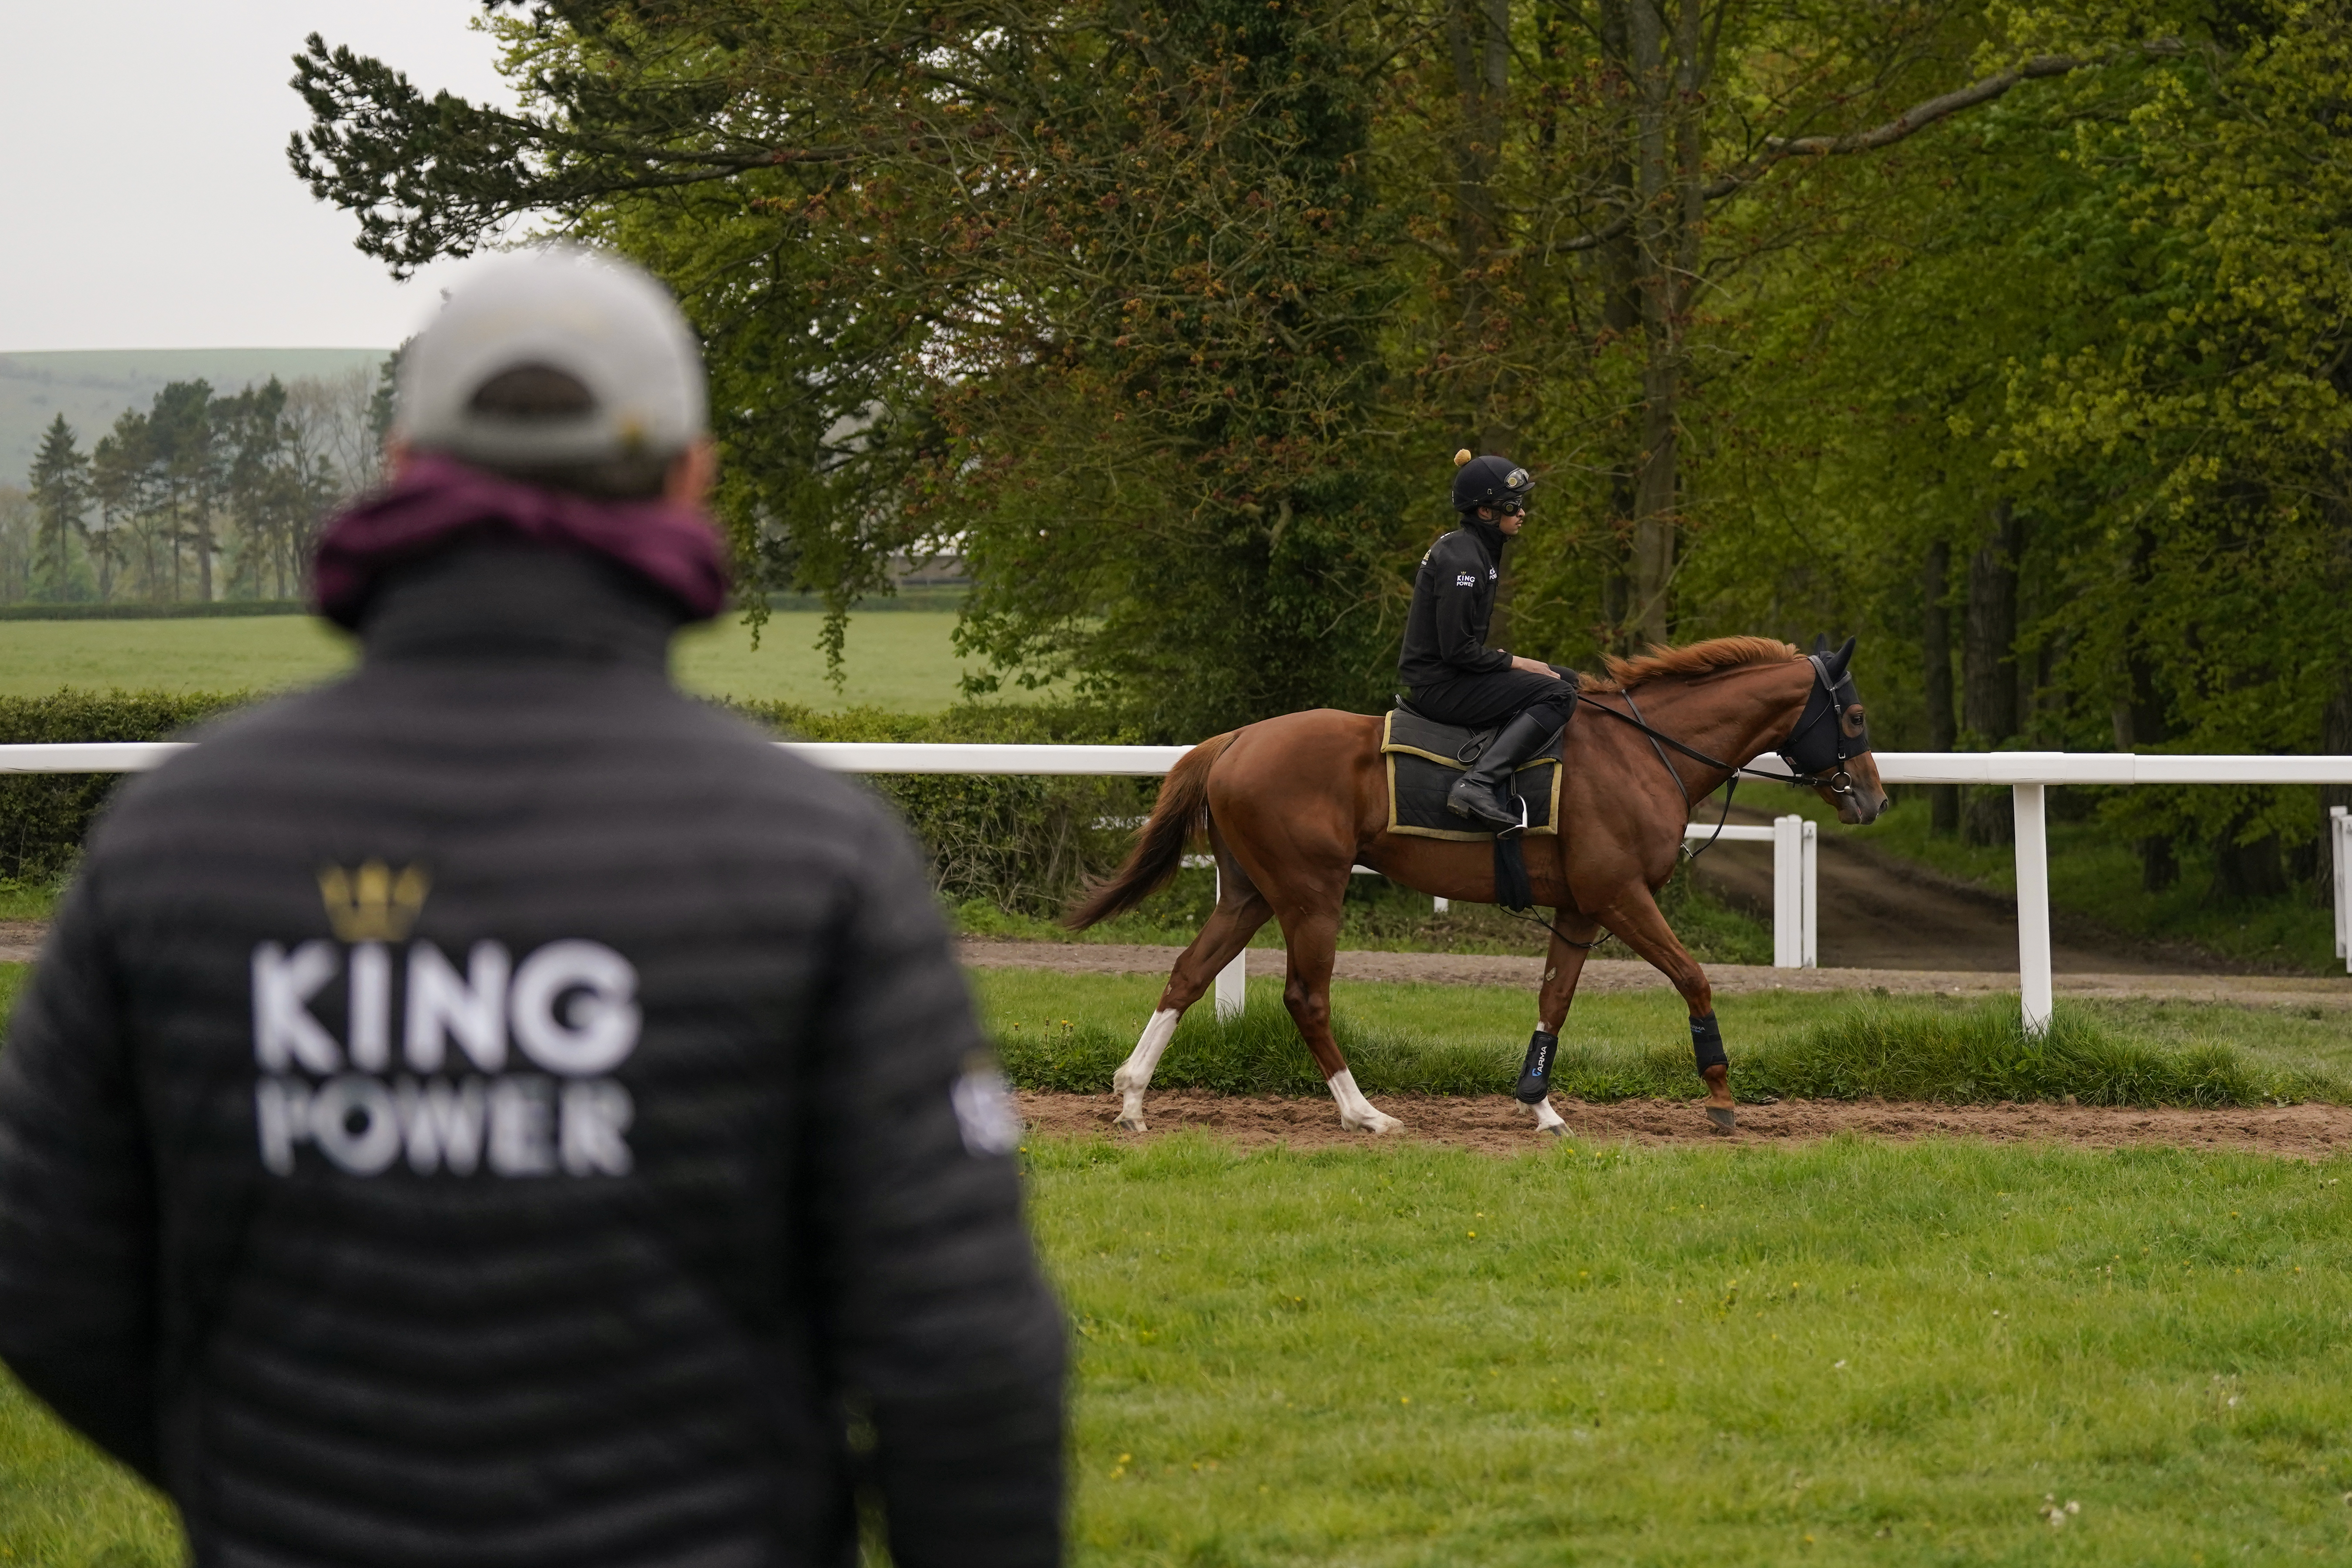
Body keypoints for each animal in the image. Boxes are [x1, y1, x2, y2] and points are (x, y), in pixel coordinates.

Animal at [1068, 639, 1891, 1142]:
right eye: (1853, 714)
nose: (1875, 801)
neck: (1641, 751)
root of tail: (1236, 738)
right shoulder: (1621, 896)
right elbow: (1693, 977)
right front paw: (1719, 1095)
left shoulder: (1581, 909)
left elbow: (1554, 1001)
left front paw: (1541, 1104)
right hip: (1310, 896)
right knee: (1306, 998)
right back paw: (1364, 1113)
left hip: (1249, 896)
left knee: (1187, 976)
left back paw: (1133, 1096)